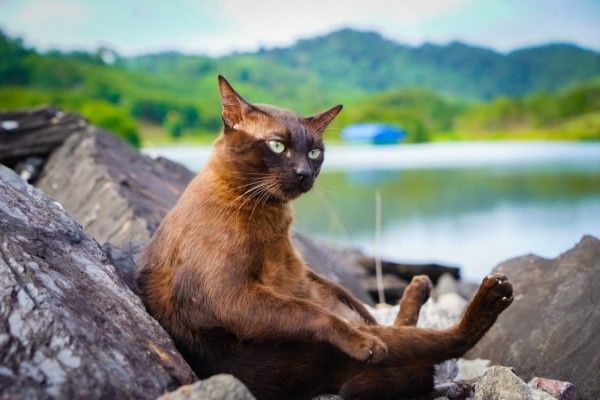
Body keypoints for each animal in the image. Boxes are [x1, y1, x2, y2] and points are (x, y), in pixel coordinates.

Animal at [138, 76, 512, 400]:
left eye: (315, 153)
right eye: (277, 146)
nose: (305, 173)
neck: (271, 214)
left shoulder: (305, 274)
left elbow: (335, 299)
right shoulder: (228, 297)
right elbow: (313, 312)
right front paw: (363, 344)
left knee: (390, 323)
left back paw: (421, 286)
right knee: (443, 342)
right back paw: (493, 294)